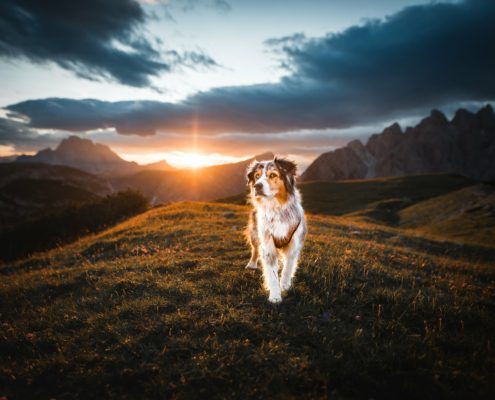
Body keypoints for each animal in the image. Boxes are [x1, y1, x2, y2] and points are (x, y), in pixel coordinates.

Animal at [244, 156, 306, 304]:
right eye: (257, 176)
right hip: (255, 233)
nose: (257, 186)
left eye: (273, 175)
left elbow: (288, 268)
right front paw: (275, 297)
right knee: (255, 249)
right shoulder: (267, 243)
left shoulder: (294, 244)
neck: (276, 208)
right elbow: (271, 273)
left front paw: (285, 285)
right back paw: (252, 264)